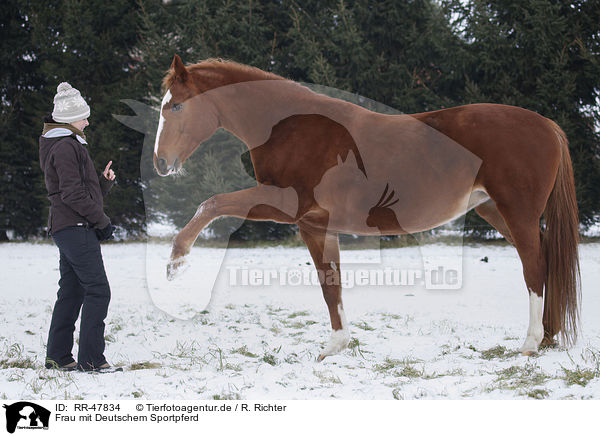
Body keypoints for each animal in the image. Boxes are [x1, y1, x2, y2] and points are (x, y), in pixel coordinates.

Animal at [156, 54, 580, 360]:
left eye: (175, 106)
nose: (161, 163)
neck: (293, 129)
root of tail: (547, 125)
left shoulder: (284, 204)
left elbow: (212, 203)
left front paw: (176, 260)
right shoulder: (314, 224)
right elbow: (330, 284)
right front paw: (335, 346)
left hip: (516, 212)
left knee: (534, 267)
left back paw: (529, 343)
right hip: (494, 211)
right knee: (546, 260)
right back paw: (548, 337)